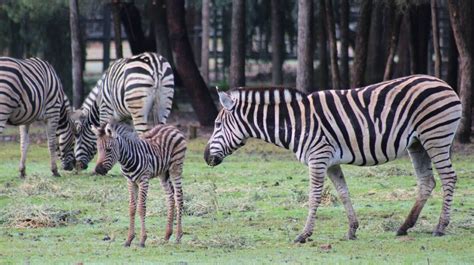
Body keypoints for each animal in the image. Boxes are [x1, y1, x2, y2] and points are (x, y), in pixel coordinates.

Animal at [205, 74, 462, 241]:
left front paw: (304, 234)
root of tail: (444, 83)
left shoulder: (318, 158)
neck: (295, 122)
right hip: (417, 144)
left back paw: (440, 227)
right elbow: (343, 192)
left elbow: (314, 196)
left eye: (217, 125)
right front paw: (352, 230)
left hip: (435, 137)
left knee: (449, 178)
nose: (206, 157)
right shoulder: (330, 162)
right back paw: (403, 227)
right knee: (427, 182)